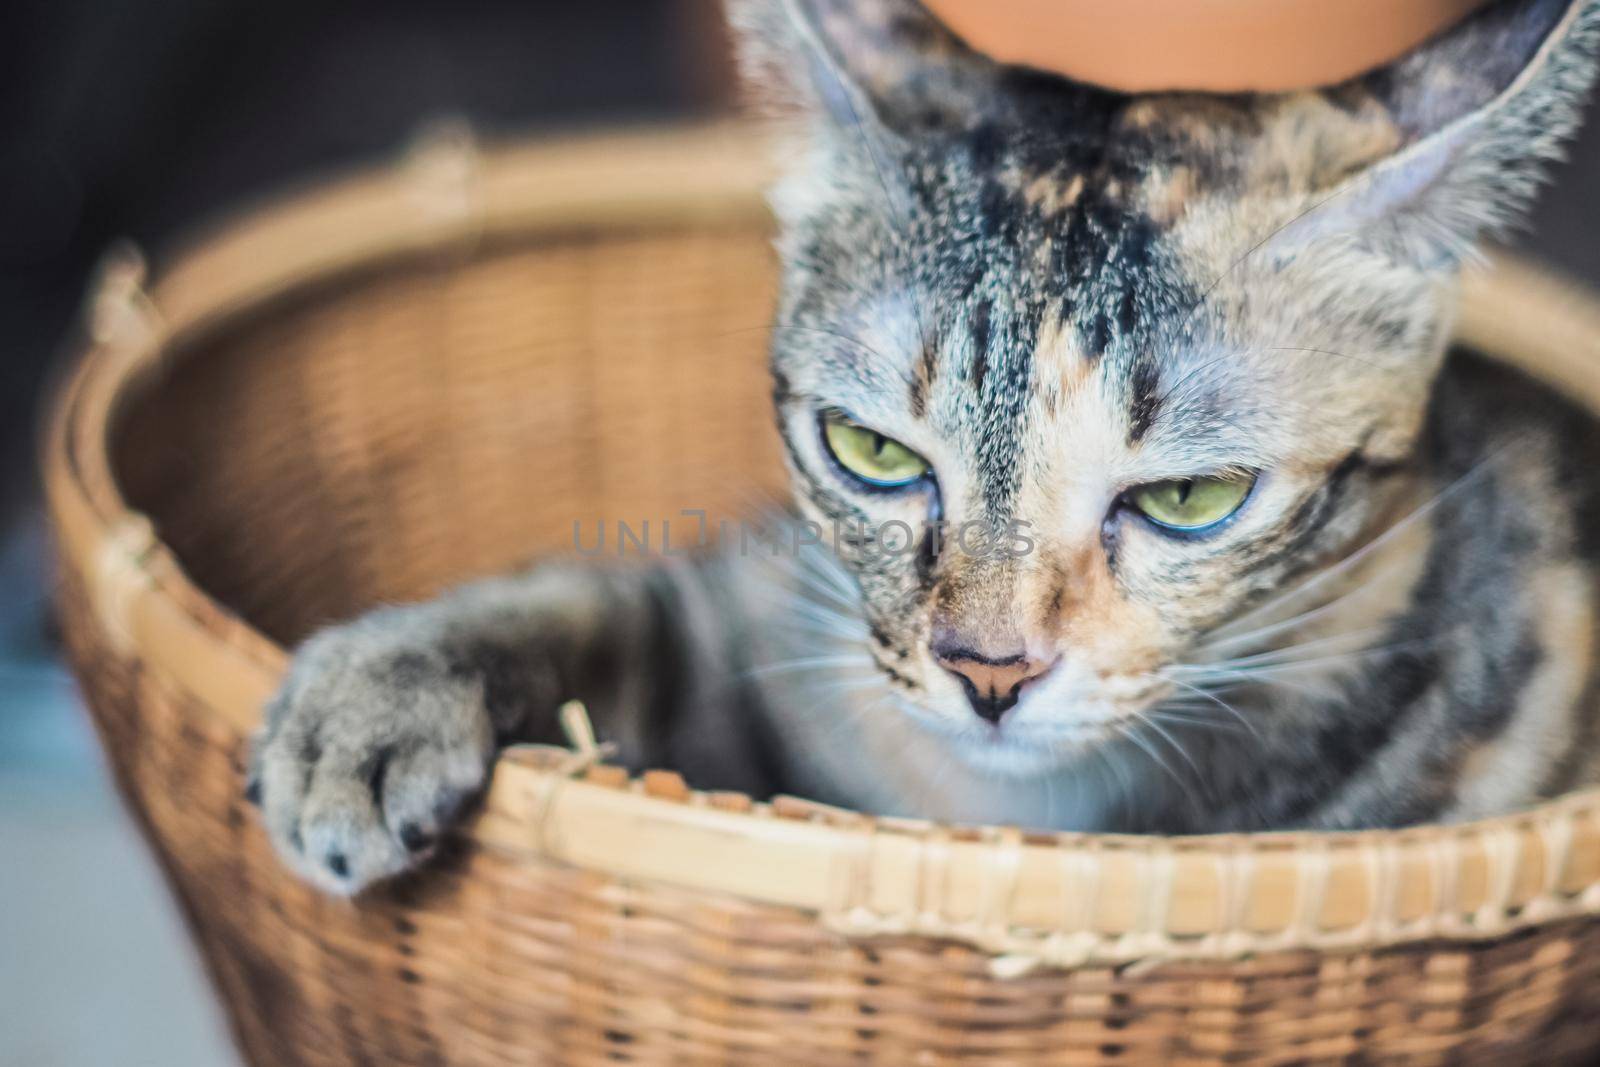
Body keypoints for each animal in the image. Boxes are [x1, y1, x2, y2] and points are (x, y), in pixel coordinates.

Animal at [246, 0, 1600, 895]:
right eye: (872, 452)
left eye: (1189, 496)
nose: (988, 672)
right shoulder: (763, 654)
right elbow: (617, 608)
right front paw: (372, 692)